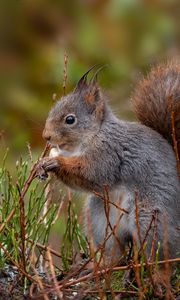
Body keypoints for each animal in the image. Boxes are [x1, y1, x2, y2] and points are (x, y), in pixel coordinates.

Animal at [35, 61, 179, 270]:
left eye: (70, 119)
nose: (46, 136)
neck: (94, 135)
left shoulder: (108, 153)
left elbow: (92, 172)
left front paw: (56, 162)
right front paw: (41, 164)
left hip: (151, 219)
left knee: (161, 254)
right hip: (100, 221)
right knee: (114, 251)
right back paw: (101, 265)